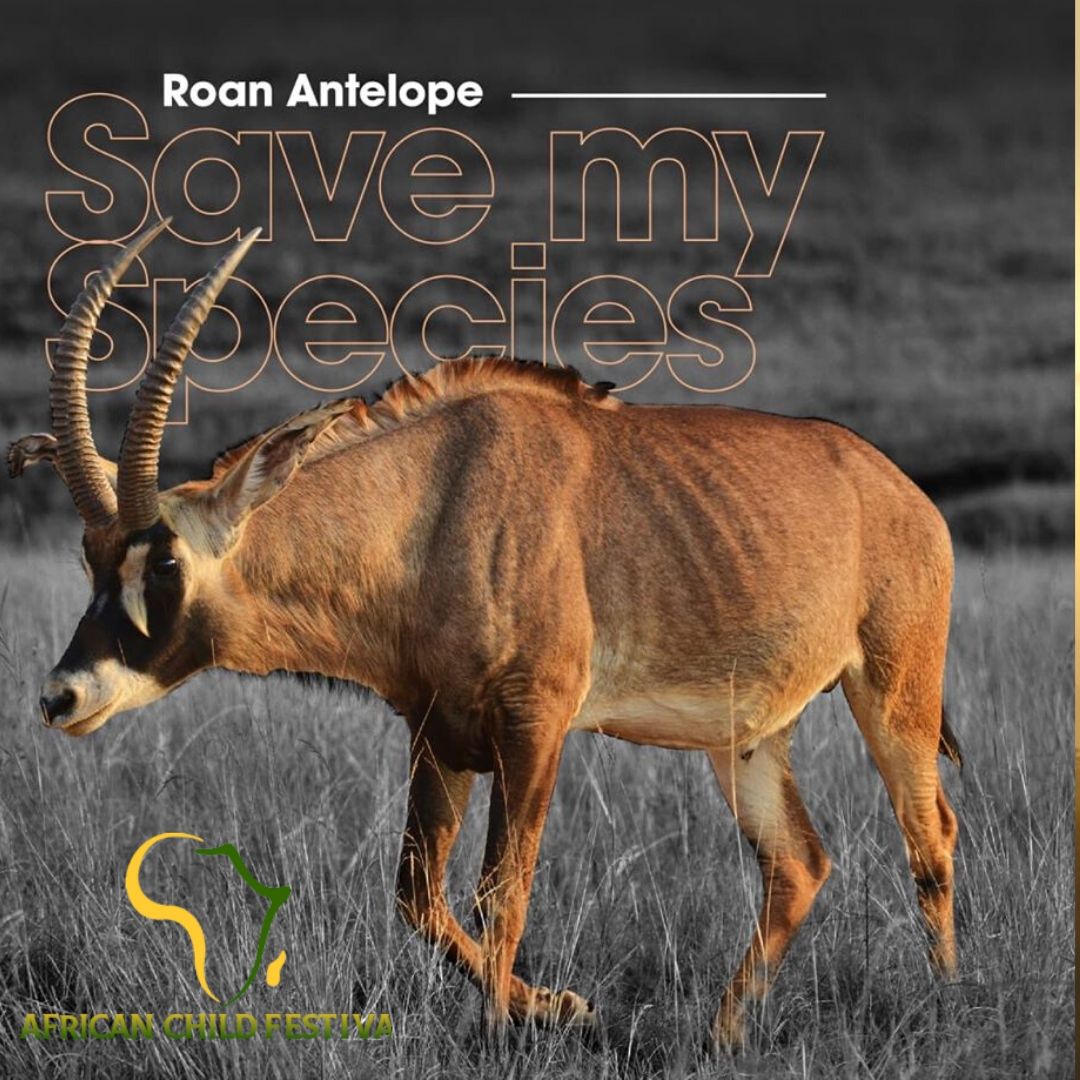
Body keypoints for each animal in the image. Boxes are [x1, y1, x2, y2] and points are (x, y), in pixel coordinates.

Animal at [9, 220, 962, 1050]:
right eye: (90, 555)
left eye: (165, 561)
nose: (62, 697)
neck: (430, 503)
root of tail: (901, 490)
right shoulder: (440, 734)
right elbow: (418, 897)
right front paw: (560, 1007)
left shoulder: (534, 723)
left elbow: (501, 892)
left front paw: (508, 1031)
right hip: (748, 737)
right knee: (799, 863)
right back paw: (723, 1032)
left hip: (895, 693)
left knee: (931, 834)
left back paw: (949, 1001)